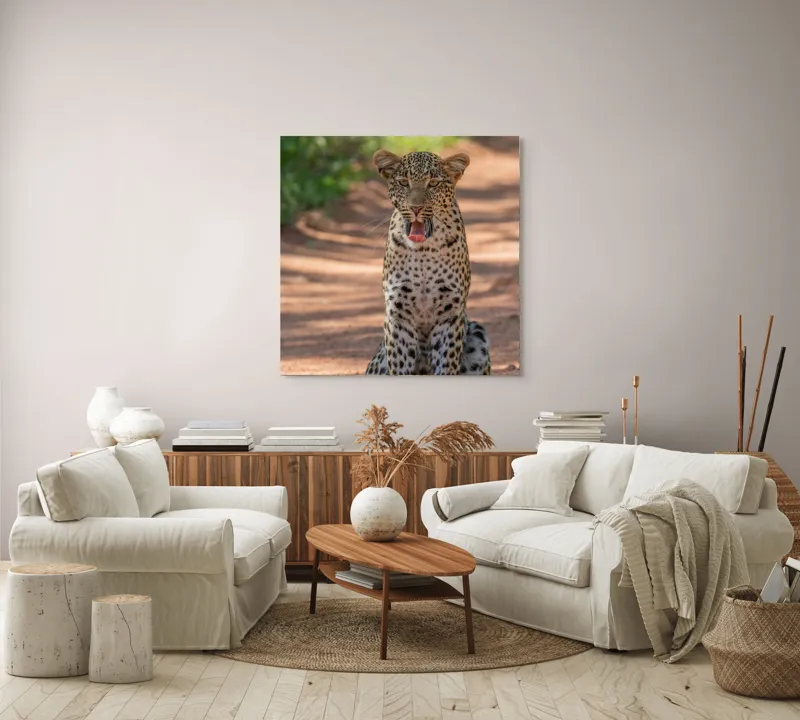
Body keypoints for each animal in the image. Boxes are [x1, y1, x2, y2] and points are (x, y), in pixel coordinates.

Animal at [365, 148, 491, 375]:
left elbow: (447, 364)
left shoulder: (450, 315)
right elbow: (399, 365)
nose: (415, 208)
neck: (423, 252)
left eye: (433, 183)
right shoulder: (398, 314)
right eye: (403, 182)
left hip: (478, 333)